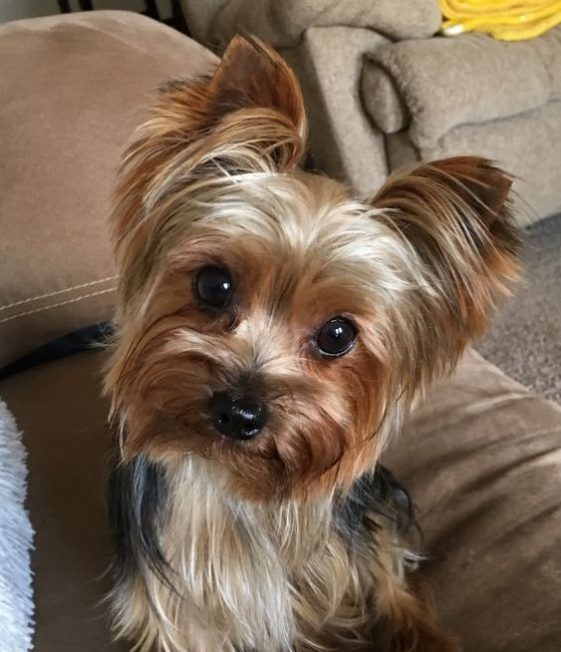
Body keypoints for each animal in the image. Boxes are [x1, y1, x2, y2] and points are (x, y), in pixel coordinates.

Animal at [104, 34, 520, 652]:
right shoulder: (177, 606)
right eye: (213, 284)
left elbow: (378, 574)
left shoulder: (341, 557)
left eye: (337, 334)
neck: (240, 486)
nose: (239, 412)